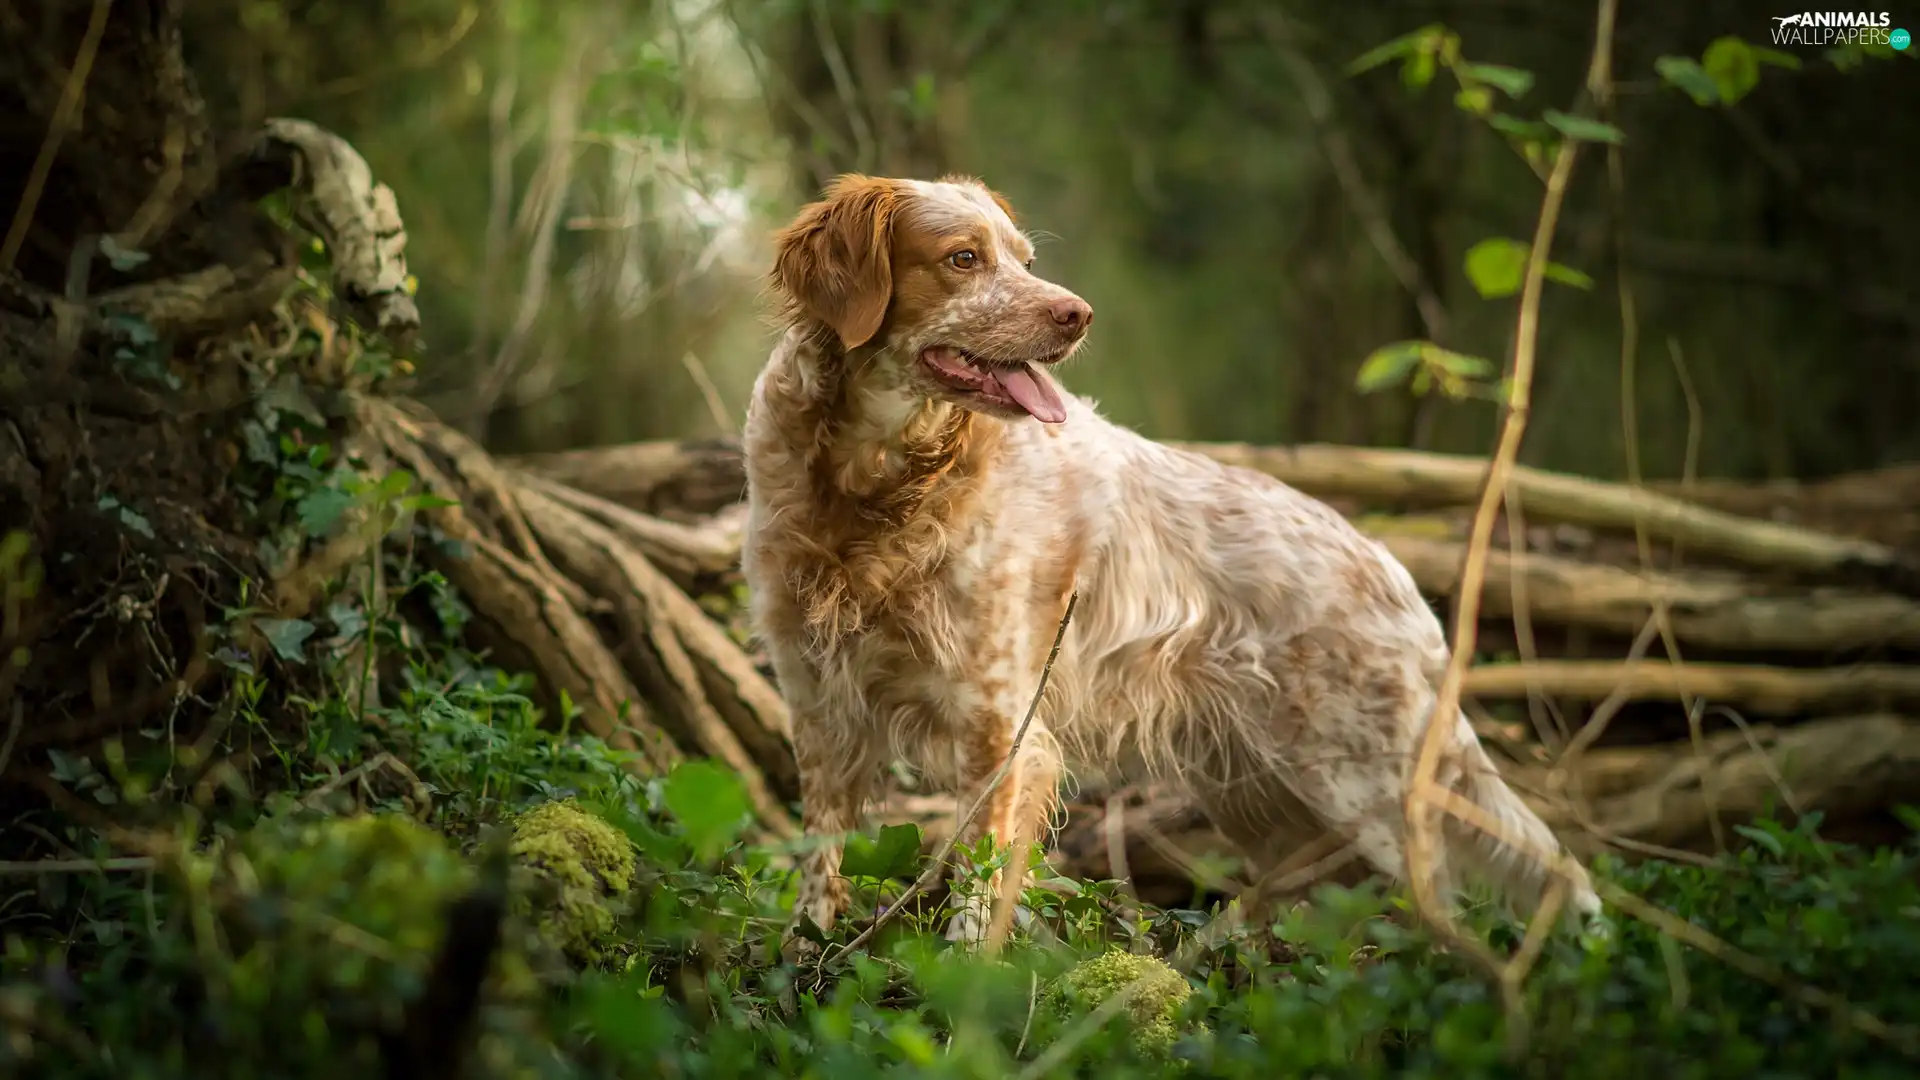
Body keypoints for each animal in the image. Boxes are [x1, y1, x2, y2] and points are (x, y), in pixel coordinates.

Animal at [737, 171, 1605, 945]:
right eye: (963, 258)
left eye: (1024, 257)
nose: (1077, 314)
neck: (876, 489)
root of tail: (1394, 572)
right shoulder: (817, 705)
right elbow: (818, 861)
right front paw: (801, 959)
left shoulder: (1000, 727)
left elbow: (975, 891)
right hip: (1269, 800)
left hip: (1366, 785)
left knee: (1443, 912)